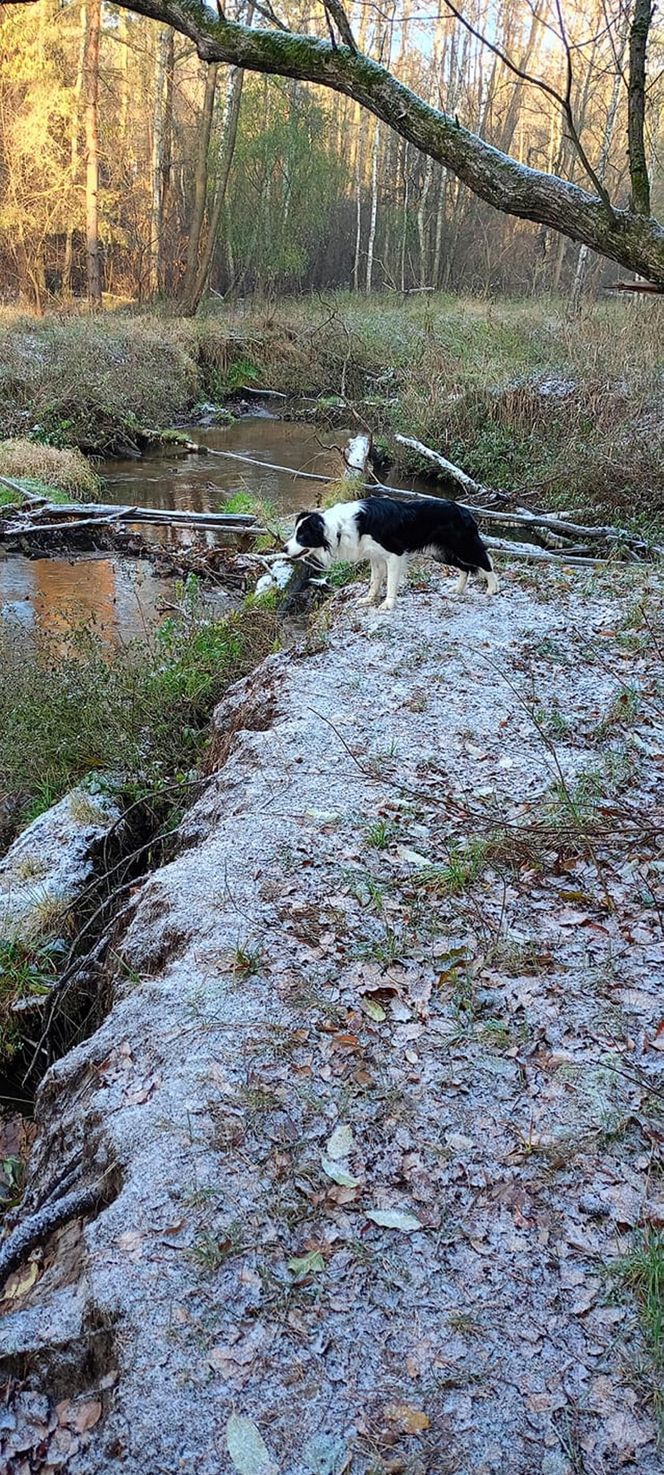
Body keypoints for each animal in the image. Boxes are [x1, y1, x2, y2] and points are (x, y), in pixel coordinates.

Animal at [284, 495, 498, 610]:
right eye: (295, 533)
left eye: (301, 536)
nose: (283, 548)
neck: (340, 527)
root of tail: (465, 511)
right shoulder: (375, 556)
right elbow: (375, 580)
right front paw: (369, 599)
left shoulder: (394, 554)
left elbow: (391, 582)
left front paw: (388, 604)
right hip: (442, 553)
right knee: (465, 568)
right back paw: (458, 589)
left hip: (464, 546)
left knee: (486, 561)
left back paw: (493, 589)